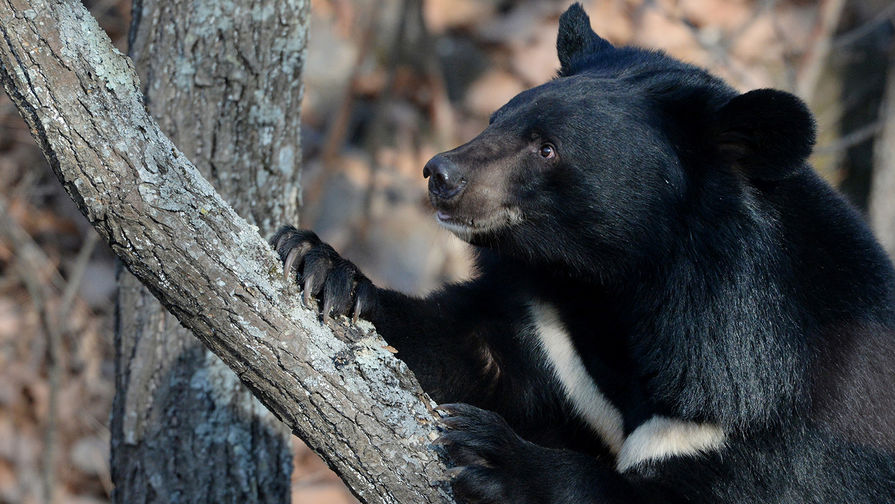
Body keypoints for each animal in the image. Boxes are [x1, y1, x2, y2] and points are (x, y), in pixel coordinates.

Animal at [272, 4, 895, 504]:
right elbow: (464, 350)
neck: (621, 285)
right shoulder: (555, 335)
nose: (439, 174)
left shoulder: (774, 420)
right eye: (497, 118)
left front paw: (494, 455)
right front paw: (322, 266)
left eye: (547, 148)